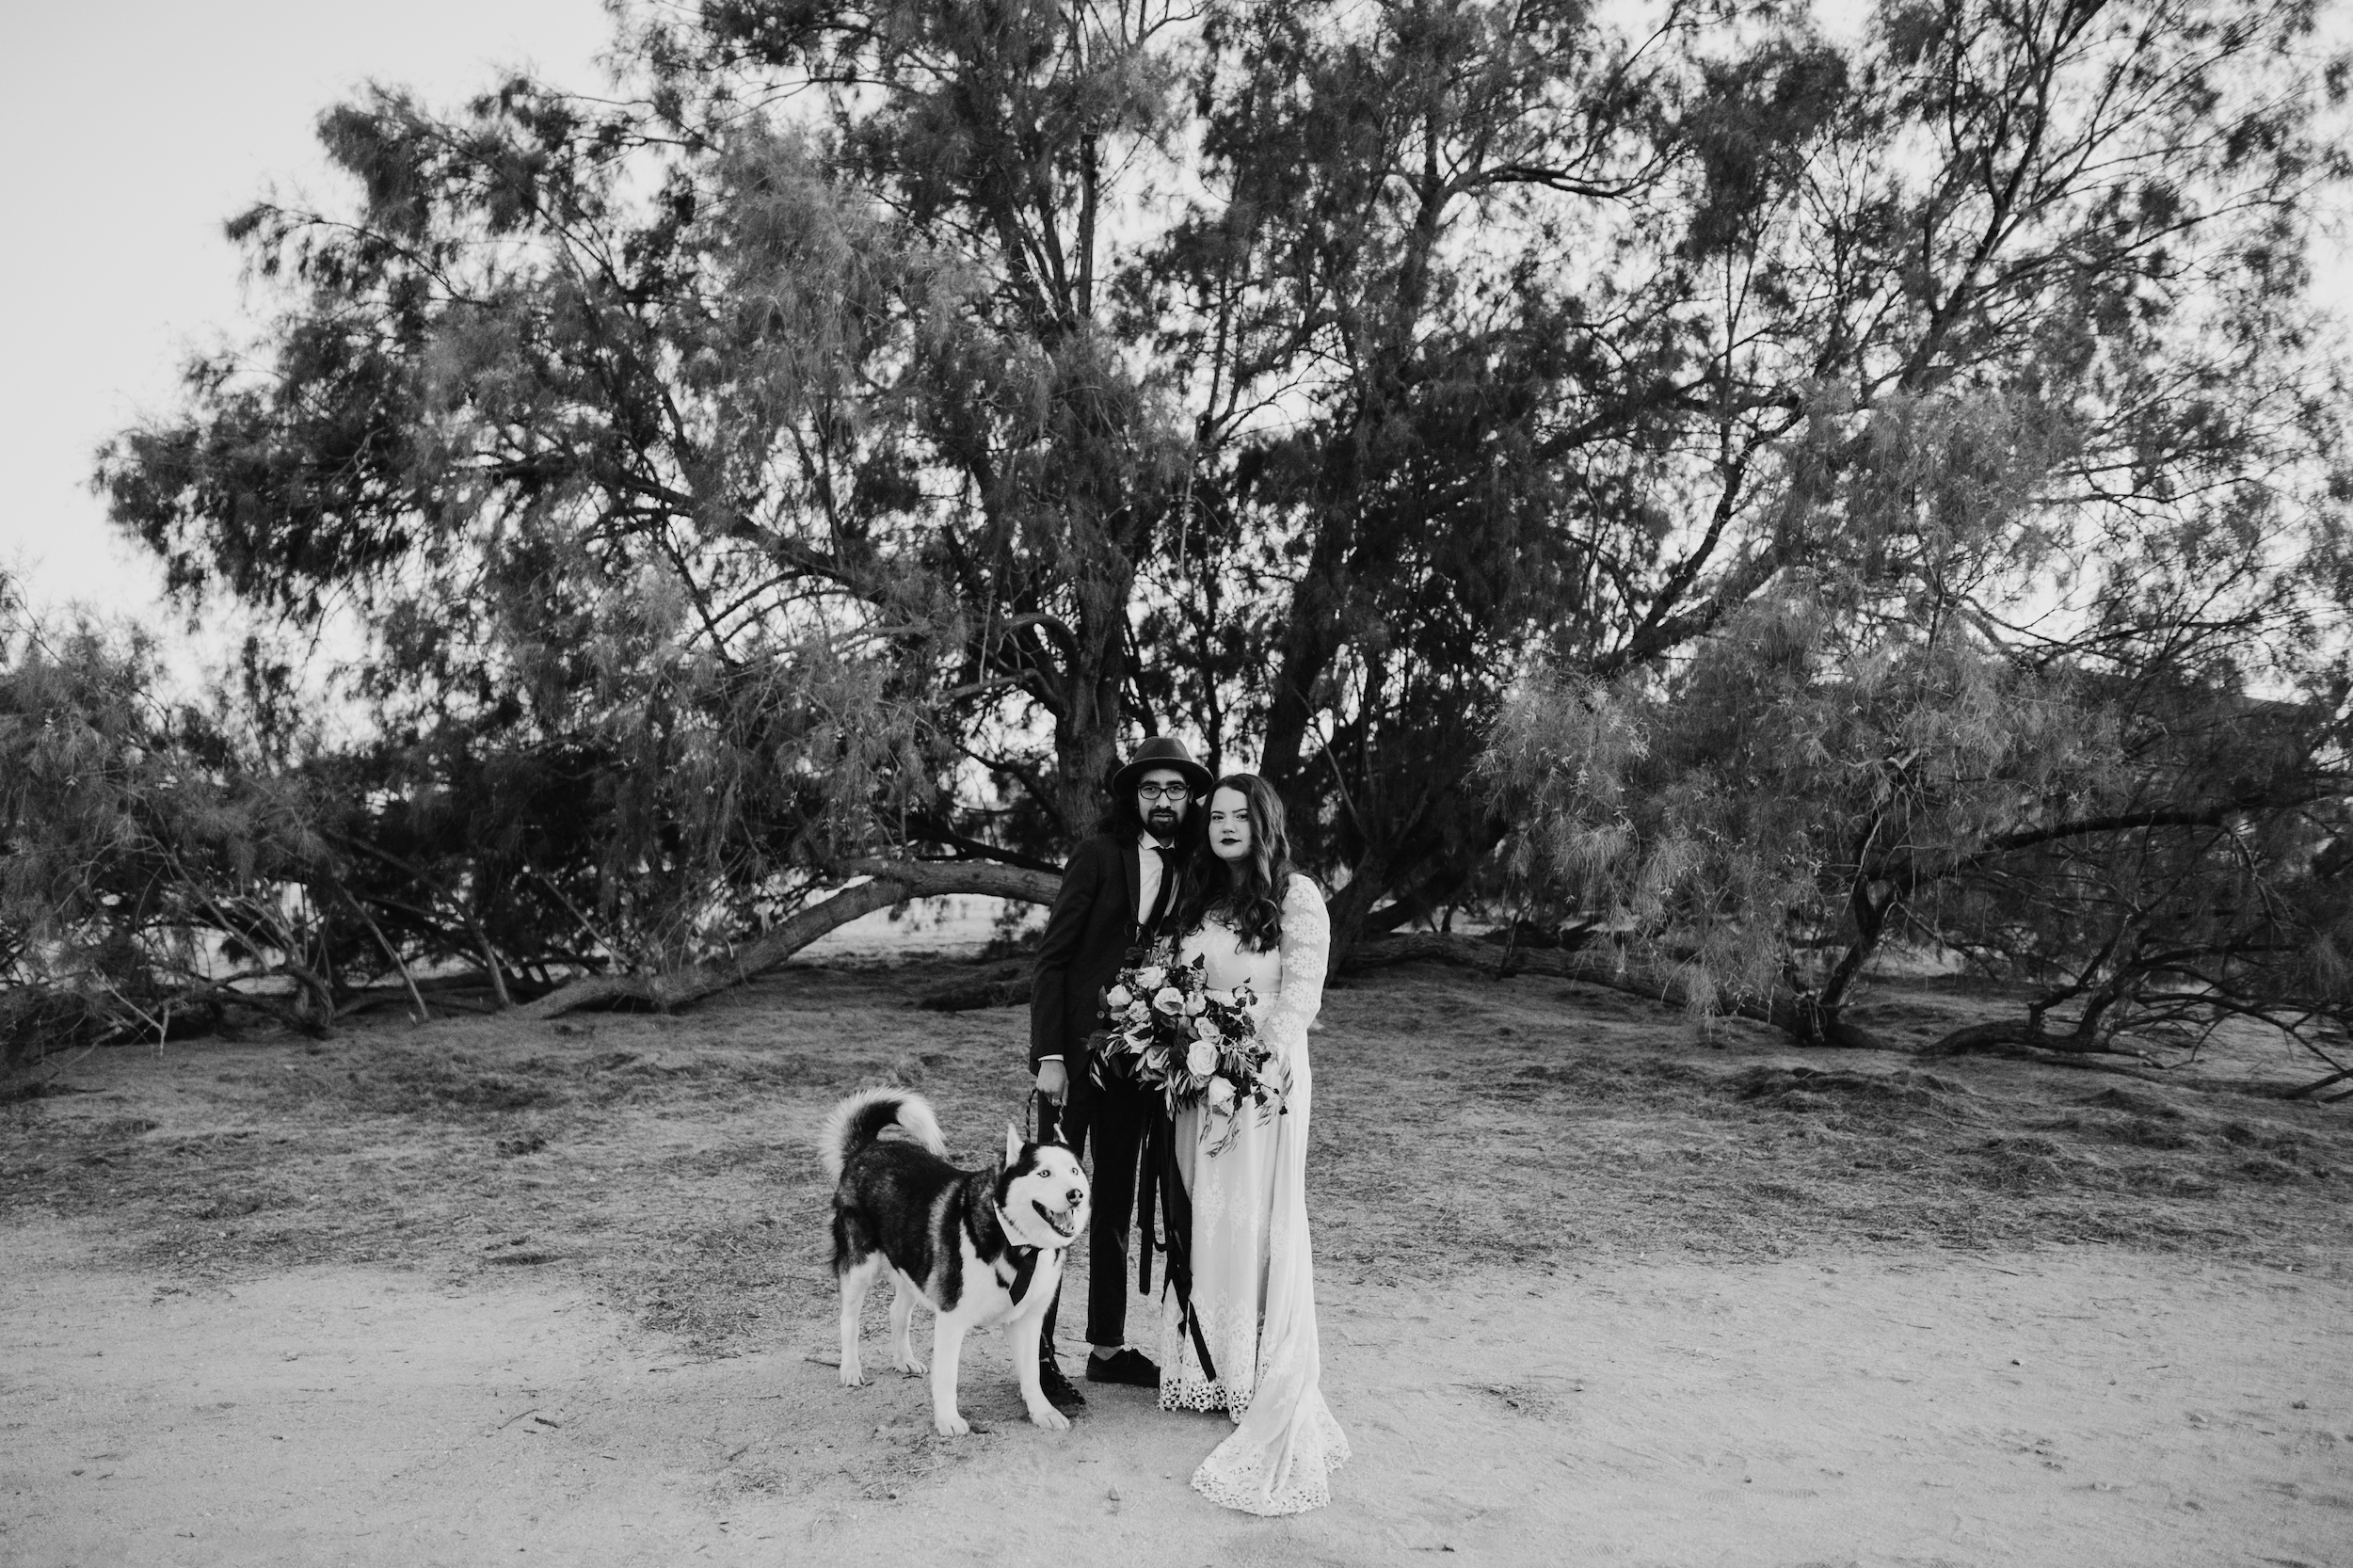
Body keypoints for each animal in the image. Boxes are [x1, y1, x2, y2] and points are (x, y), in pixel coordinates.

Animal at [819, 1087, 1092, 1431]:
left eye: (1074, 1171)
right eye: (1044, 1173)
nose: (1075, 1194)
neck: (1016, 1241)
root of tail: (868, 1147)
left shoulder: (1029, 1321)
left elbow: (1032, 1374)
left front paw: (1042, 1411)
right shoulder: (951, 1318)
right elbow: (948, 1376)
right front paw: (948, 1420)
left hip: (913, 1265)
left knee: (897, 1313)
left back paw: (904, 1360)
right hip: (860, 1268)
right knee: (849, 1320)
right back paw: (850, 1369)